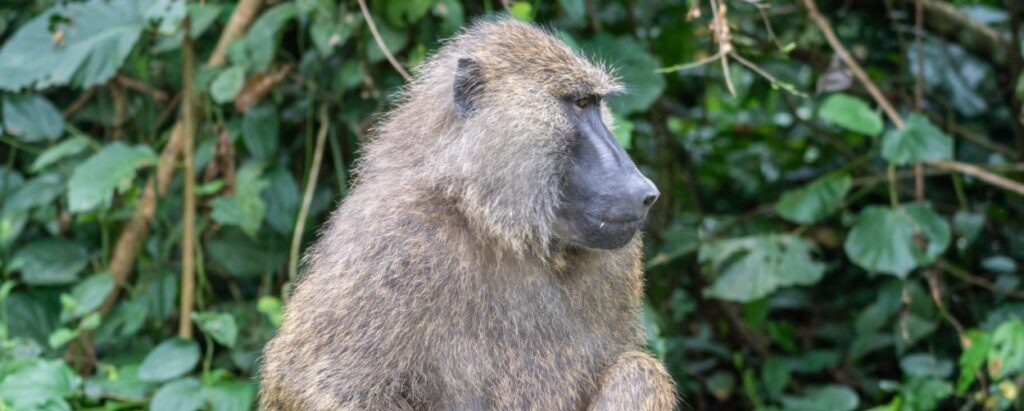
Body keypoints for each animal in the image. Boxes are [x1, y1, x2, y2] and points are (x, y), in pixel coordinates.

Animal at [259, 17, 676, 411]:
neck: (490, 221)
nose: (646, 193)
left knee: (639, 371)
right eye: (579, 104)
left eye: (595, 105)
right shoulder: (392, 239)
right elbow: (316, 381)